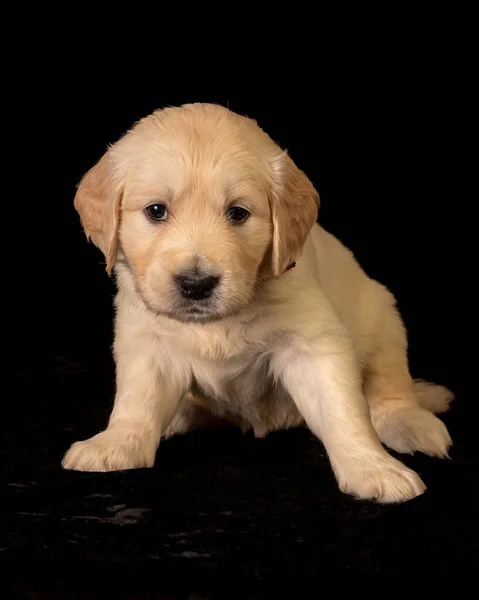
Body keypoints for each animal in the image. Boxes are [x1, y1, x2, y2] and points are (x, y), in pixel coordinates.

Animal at [63, 102, 454, 502]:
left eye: (238, 213)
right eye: (156, 211)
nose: (196, 284)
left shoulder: (313, 343)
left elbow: (342, 409)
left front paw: (372, 467)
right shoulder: (146, 340)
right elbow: (136, 400)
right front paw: (117, 443)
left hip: (384, 316)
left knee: (389, 387)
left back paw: (411, 423)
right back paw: (180, 413)